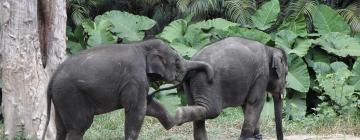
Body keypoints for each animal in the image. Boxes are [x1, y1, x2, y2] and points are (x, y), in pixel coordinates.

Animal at [42, 39, 214, 140]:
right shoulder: (135, 78)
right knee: (79, 127)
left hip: (61, 100)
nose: (210, 79)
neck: (142, 45)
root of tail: (51, 79)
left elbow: (149, 107)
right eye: (177, 61)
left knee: (61, 129)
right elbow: (136, 110)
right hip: (71, 96)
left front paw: (175, 118)